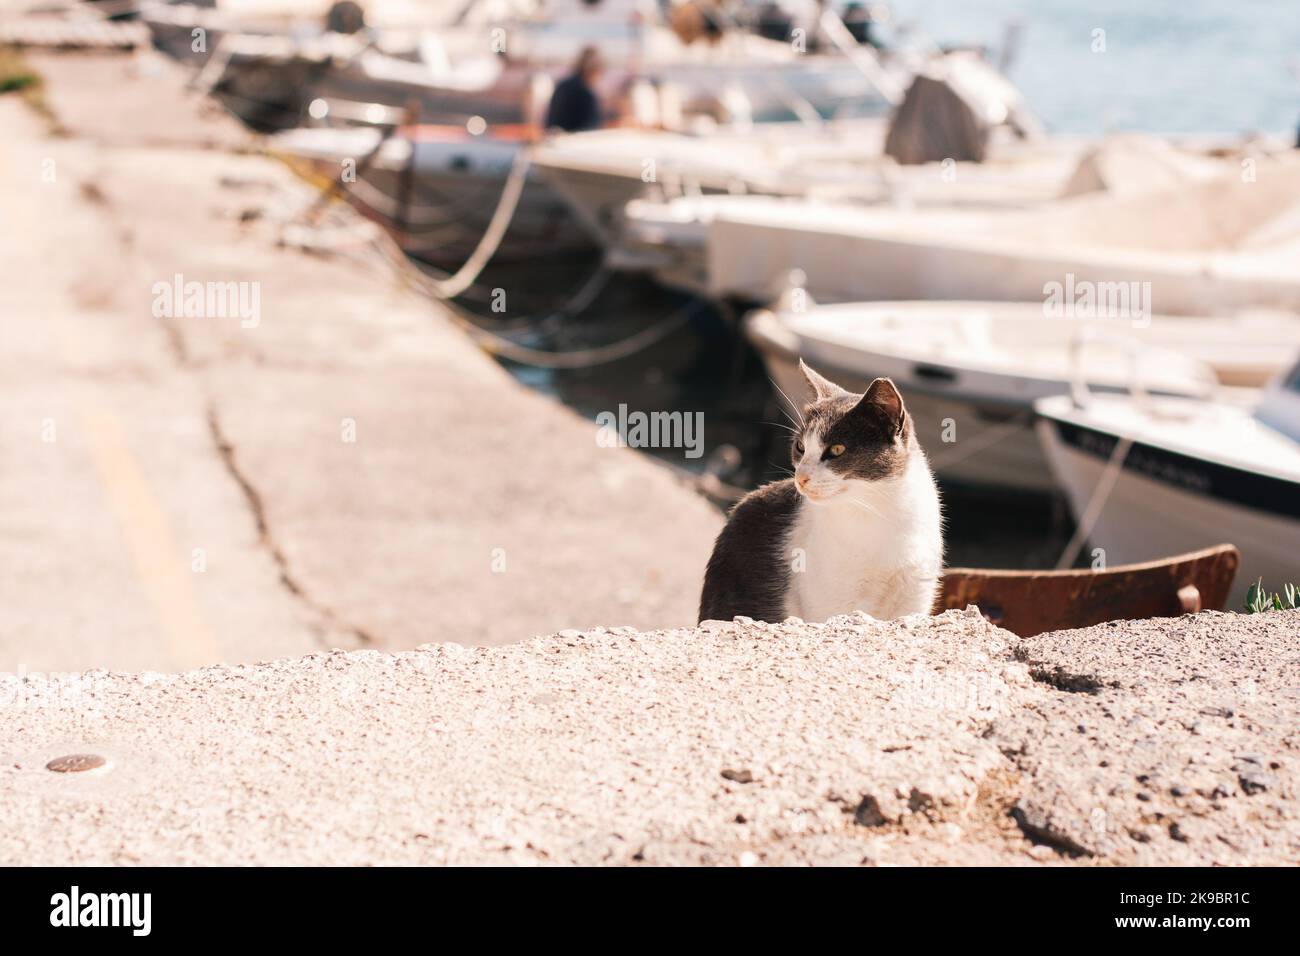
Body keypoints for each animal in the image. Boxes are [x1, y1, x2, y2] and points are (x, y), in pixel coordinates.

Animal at [702, 361, 946, 624]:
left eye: (837, 450)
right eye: (800, 447)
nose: (800, 477)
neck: (879, 511)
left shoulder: (914, 598)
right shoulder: (832, 605)